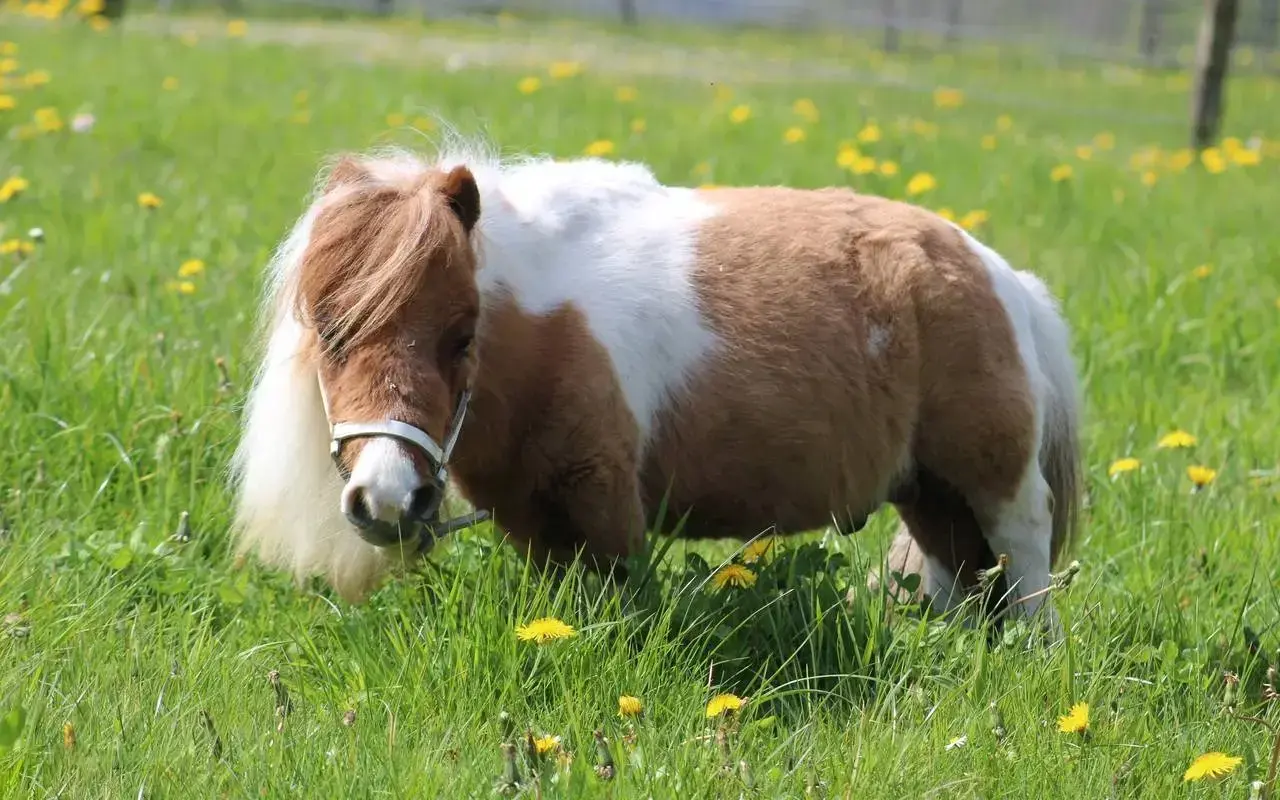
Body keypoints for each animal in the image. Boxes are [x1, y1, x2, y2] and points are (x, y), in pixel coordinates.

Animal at [229, 141, 1082, 627]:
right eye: (327, 329)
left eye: (462, 334)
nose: (388, 500)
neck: (544, 326)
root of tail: (1002, 277)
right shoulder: (534, 520)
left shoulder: (602, 505)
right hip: (929, 494)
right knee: (959, 576)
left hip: (994, 483)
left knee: (1024, 563)